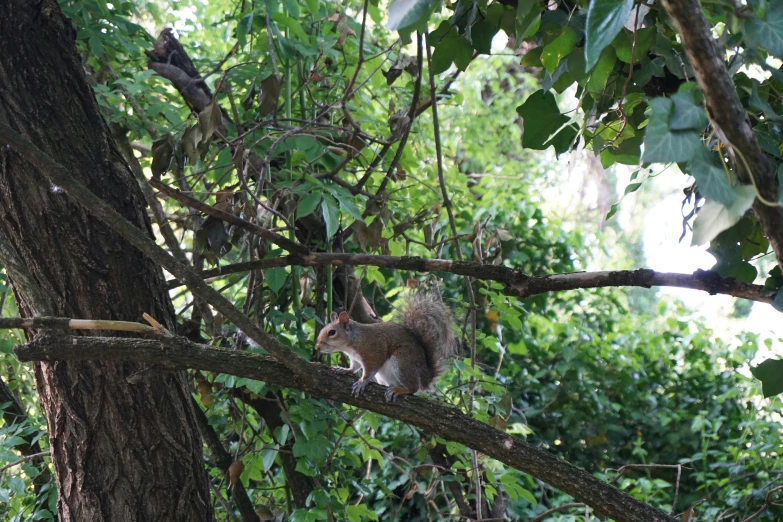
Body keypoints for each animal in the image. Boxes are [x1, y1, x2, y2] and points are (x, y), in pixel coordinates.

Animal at [316, 292, 456, 402]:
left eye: (332, 332)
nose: (317, 348)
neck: (352, 343)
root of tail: (424, 378)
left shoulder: (373, 352)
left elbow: (369, 370)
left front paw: (362, 382)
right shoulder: (355, 358)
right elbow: (354, 367)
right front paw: (344, 370)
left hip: (403, 360)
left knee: (413, 388)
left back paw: (399, 390)